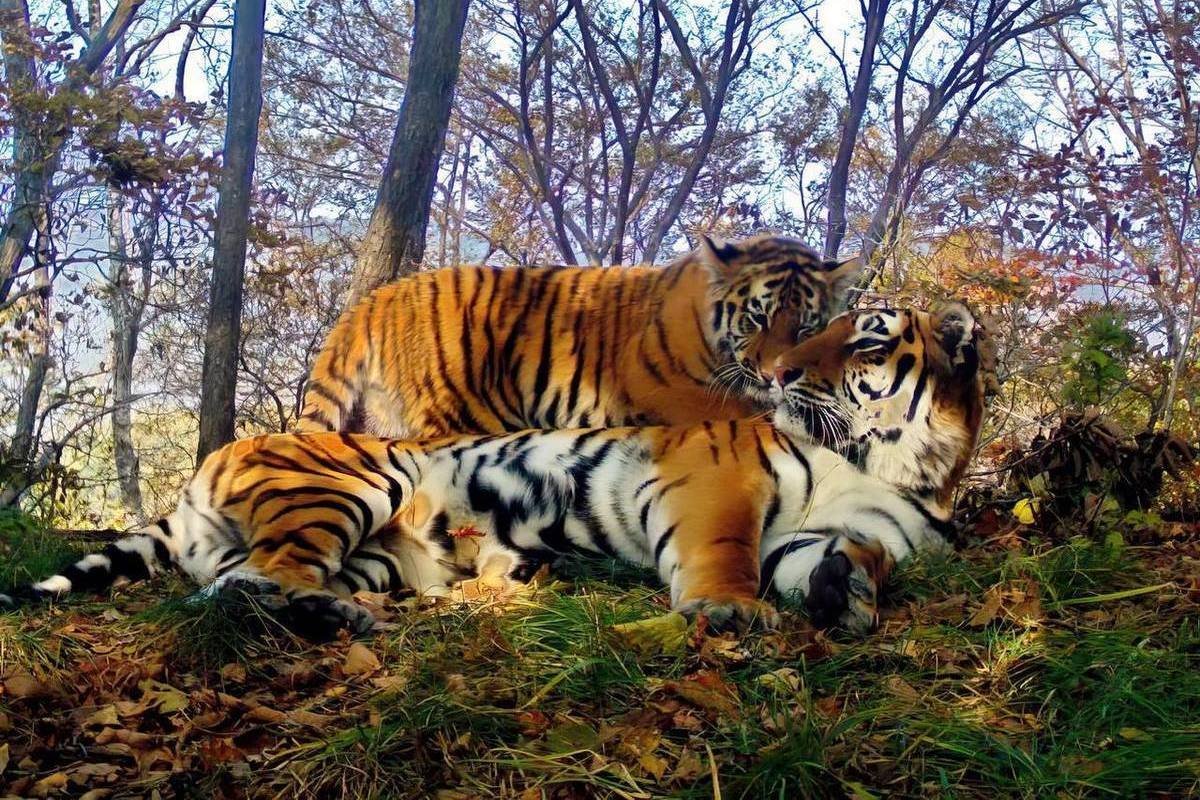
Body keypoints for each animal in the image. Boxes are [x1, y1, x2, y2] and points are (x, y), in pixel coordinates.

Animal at [1, 304, 986, 638]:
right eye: (819, 331)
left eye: (862, 339)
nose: (776, 373)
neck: (896, 468)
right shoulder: (719, 483)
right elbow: (726, 553)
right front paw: (730, 611)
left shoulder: (834, 527)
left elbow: (843, 557)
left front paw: (845, 589)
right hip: (352, 488)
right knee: (248, 585)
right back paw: (333, 617)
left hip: (380, 552)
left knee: (238, 584)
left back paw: (336, 614)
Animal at [295, 234, 862, 438]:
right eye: (756, 319)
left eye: (806, 326)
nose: (776, 375)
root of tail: (378, 297)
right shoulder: (659, 382)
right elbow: (738, 411)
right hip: (466, 412)